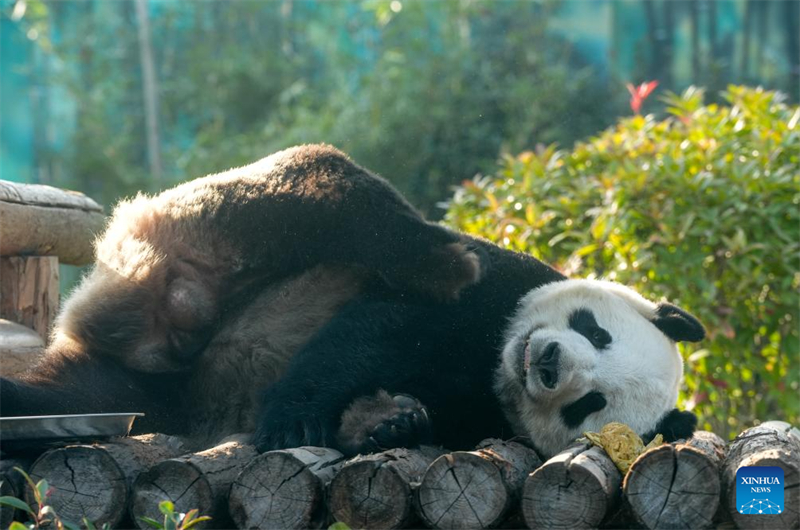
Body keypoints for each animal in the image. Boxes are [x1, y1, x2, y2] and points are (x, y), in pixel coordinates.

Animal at [0, 144, 703, 458]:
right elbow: (374, 330)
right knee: (323, 188)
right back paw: (438, 258)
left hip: (138, 383)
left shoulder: (482, 414)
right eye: (596, 329)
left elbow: (423, 409)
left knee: (77, 396)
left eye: (591, 403)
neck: (495, 363)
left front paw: (393, 423)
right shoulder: (501, 291)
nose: (550, 361)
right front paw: (292, 421)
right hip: (191, 233)